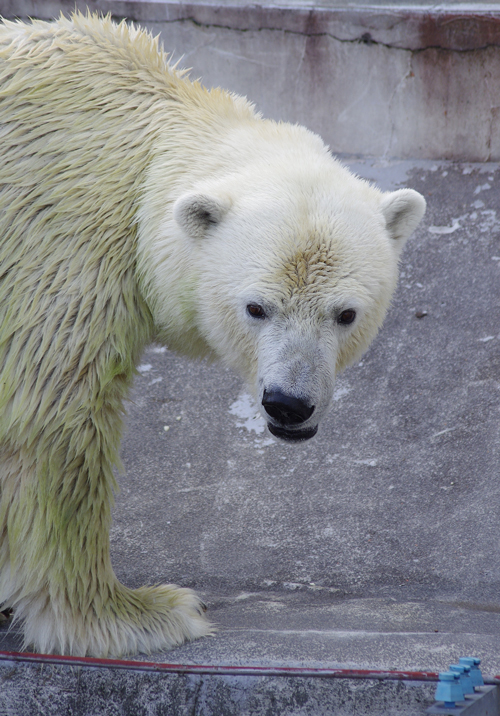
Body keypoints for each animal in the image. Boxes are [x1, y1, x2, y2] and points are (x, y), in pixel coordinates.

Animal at [0, 14, 426, 656]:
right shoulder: (58, 247)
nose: (289, 404)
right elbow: (54, 423)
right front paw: (139, 615)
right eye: (256, 307)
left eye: (346, 314)